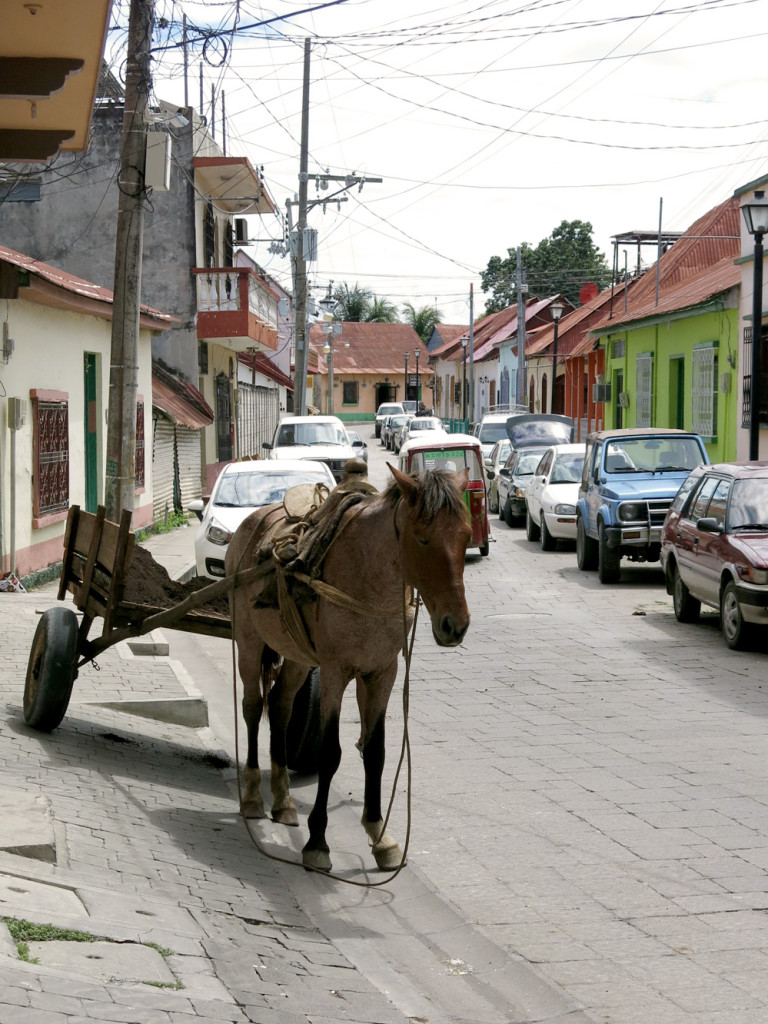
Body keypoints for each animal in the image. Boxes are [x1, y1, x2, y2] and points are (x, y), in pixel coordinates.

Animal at [225, 463, 471, 873]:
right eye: (422, 539)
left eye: (466, 536)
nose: (456, 625)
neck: (367, 574)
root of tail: (250, 523)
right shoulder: (335, 673)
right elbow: (331, 753)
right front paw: (317, 842)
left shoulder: (382, 673)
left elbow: (375, 751)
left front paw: (380, 836)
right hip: (248, 641)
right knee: (252, 707)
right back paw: (253, 797)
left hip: (296, 655)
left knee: (280, 705)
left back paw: (283, 801)